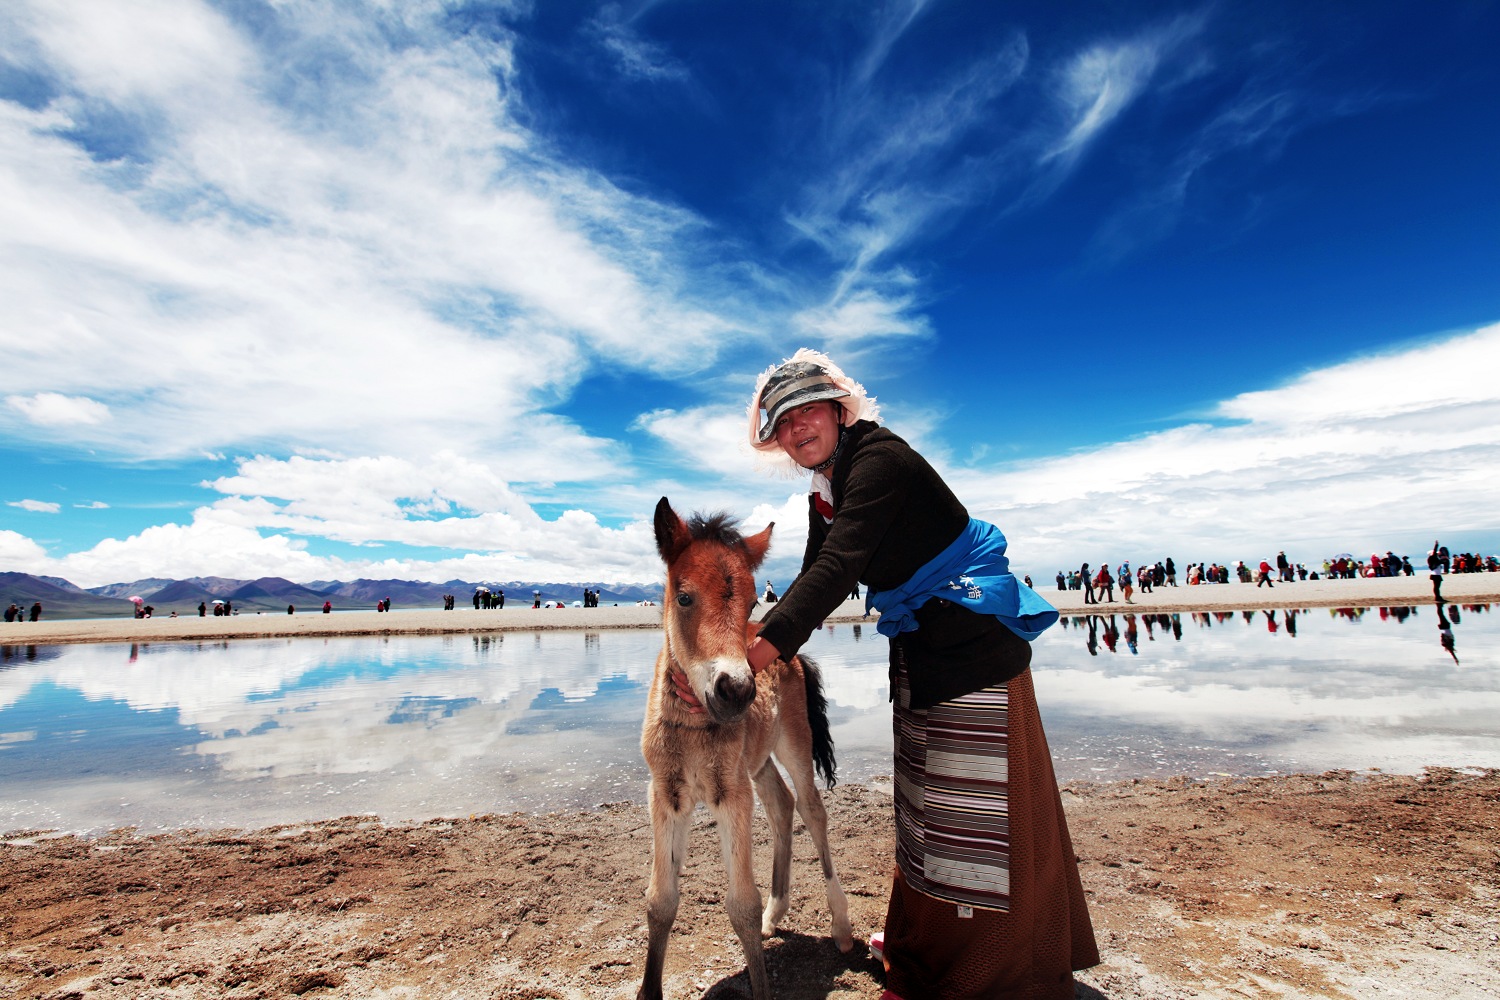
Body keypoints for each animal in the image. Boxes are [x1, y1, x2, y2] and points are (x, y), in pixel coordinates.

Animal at [636, 497, 858, 1000]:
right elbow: (660, 901)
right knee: (781, 804)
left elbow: (741, 905)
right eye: (684, 596)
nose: (736, 690)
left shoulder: (732, 795)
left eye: (755, 598)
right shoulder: (666, 794)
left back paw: (840, 927)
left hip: (794, 745)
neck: (693, 727)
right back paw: (778, 914)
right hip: (757, 763)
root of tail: (794, 655)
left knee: (812, 811)